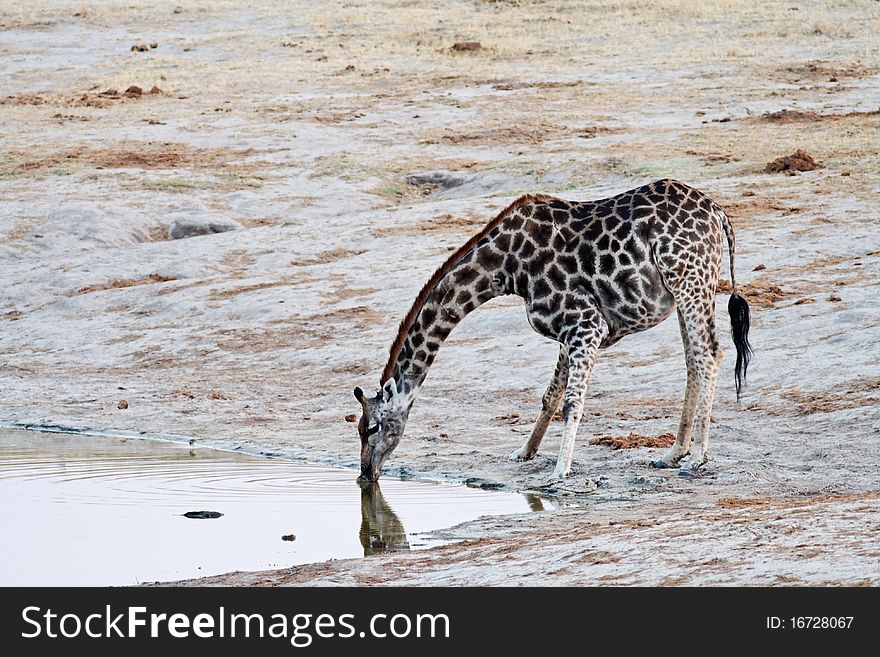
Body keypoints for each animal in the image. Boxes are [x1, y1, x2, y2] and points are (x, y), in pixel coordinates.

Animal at [354, 179, 752, 482]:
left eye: (371, 427)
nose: (365, 474)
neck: (505, 267)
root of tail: (717, 211)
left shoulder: (586, 325)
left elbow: (572, 402)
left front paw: (560, 471)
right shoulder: (569, 331)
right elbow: (550, 396)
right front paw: (524, 452)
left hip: (690, 281)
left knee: (710, 354)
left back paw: (696, 457)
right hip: (685, 289)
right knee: (693, 361)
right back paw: (673, 453)